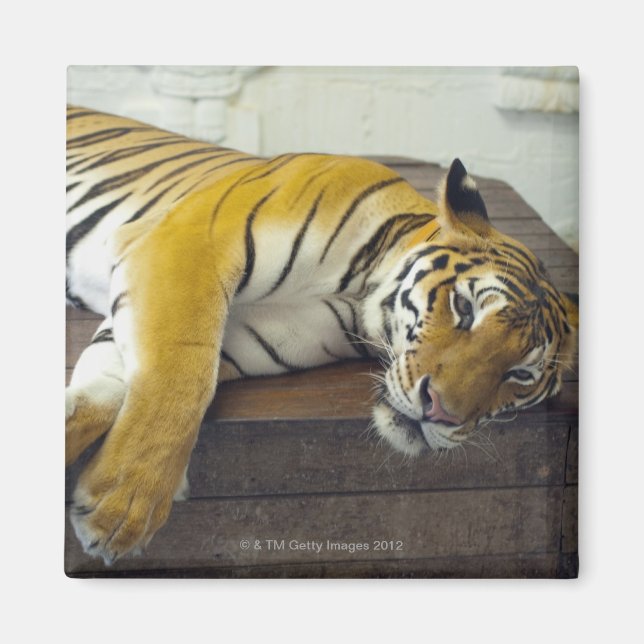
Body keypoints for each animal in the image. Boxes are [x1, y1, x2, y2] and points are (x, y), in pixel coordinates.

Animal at [65, 105, 578, 564]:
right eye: (465, 308)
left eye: (519, 374)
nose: (441, 413)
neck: (362, 297)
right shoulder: (188, 244)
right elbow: (181, 377)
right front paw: (121, 510)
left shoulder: (246, 332)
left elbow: (109, 389)